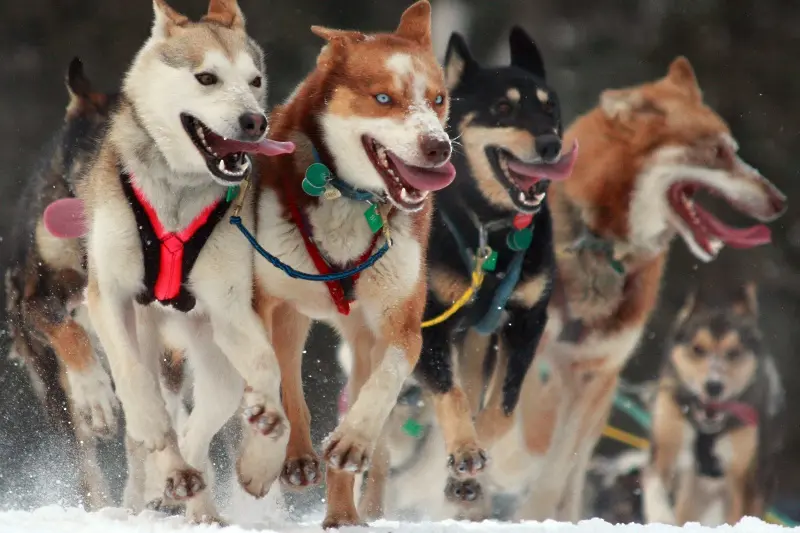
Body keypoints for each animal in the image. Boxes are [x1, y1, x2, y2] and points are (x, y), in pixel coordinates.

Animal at [640, 282, 784, 524]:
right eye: (698, 349)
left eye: (733, 352)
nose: (714, 386)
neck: (706, 430)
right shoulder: (665, 444)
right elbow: (655, 485)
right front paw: (662, 516)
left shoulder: (741, 478)